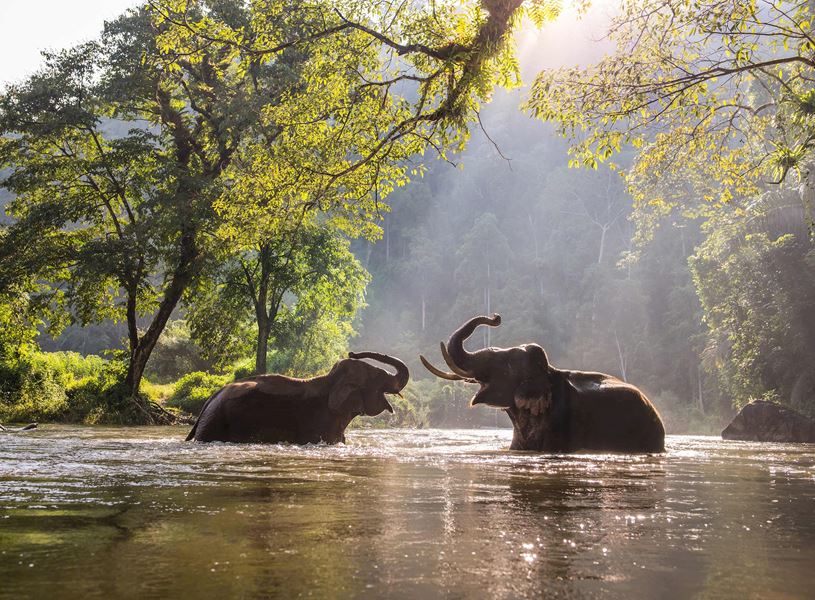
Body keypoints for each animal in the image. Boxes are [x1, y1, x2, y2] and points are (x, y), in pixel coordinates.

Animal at [186, 352, 409, 443]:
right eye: (378, 377)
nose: (352, 352)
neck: (330, 380)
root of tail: (209, 400)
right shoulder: (319, 422)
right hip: (215, 423)